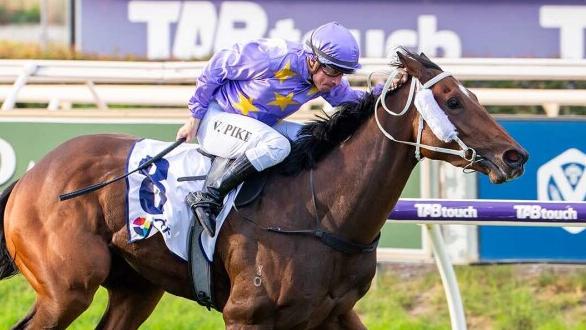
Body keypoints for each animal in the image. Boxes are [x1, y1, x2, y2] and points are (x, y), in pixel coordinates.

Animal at [0, 50, 528, 328]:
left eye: (474, 95)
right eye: (453, 101)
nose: (514, 156)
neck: (322, 212)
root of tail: (32, 176)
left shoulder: (334, 312)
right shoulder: (247, 315)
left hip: (136, 289)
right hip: (67, 289)